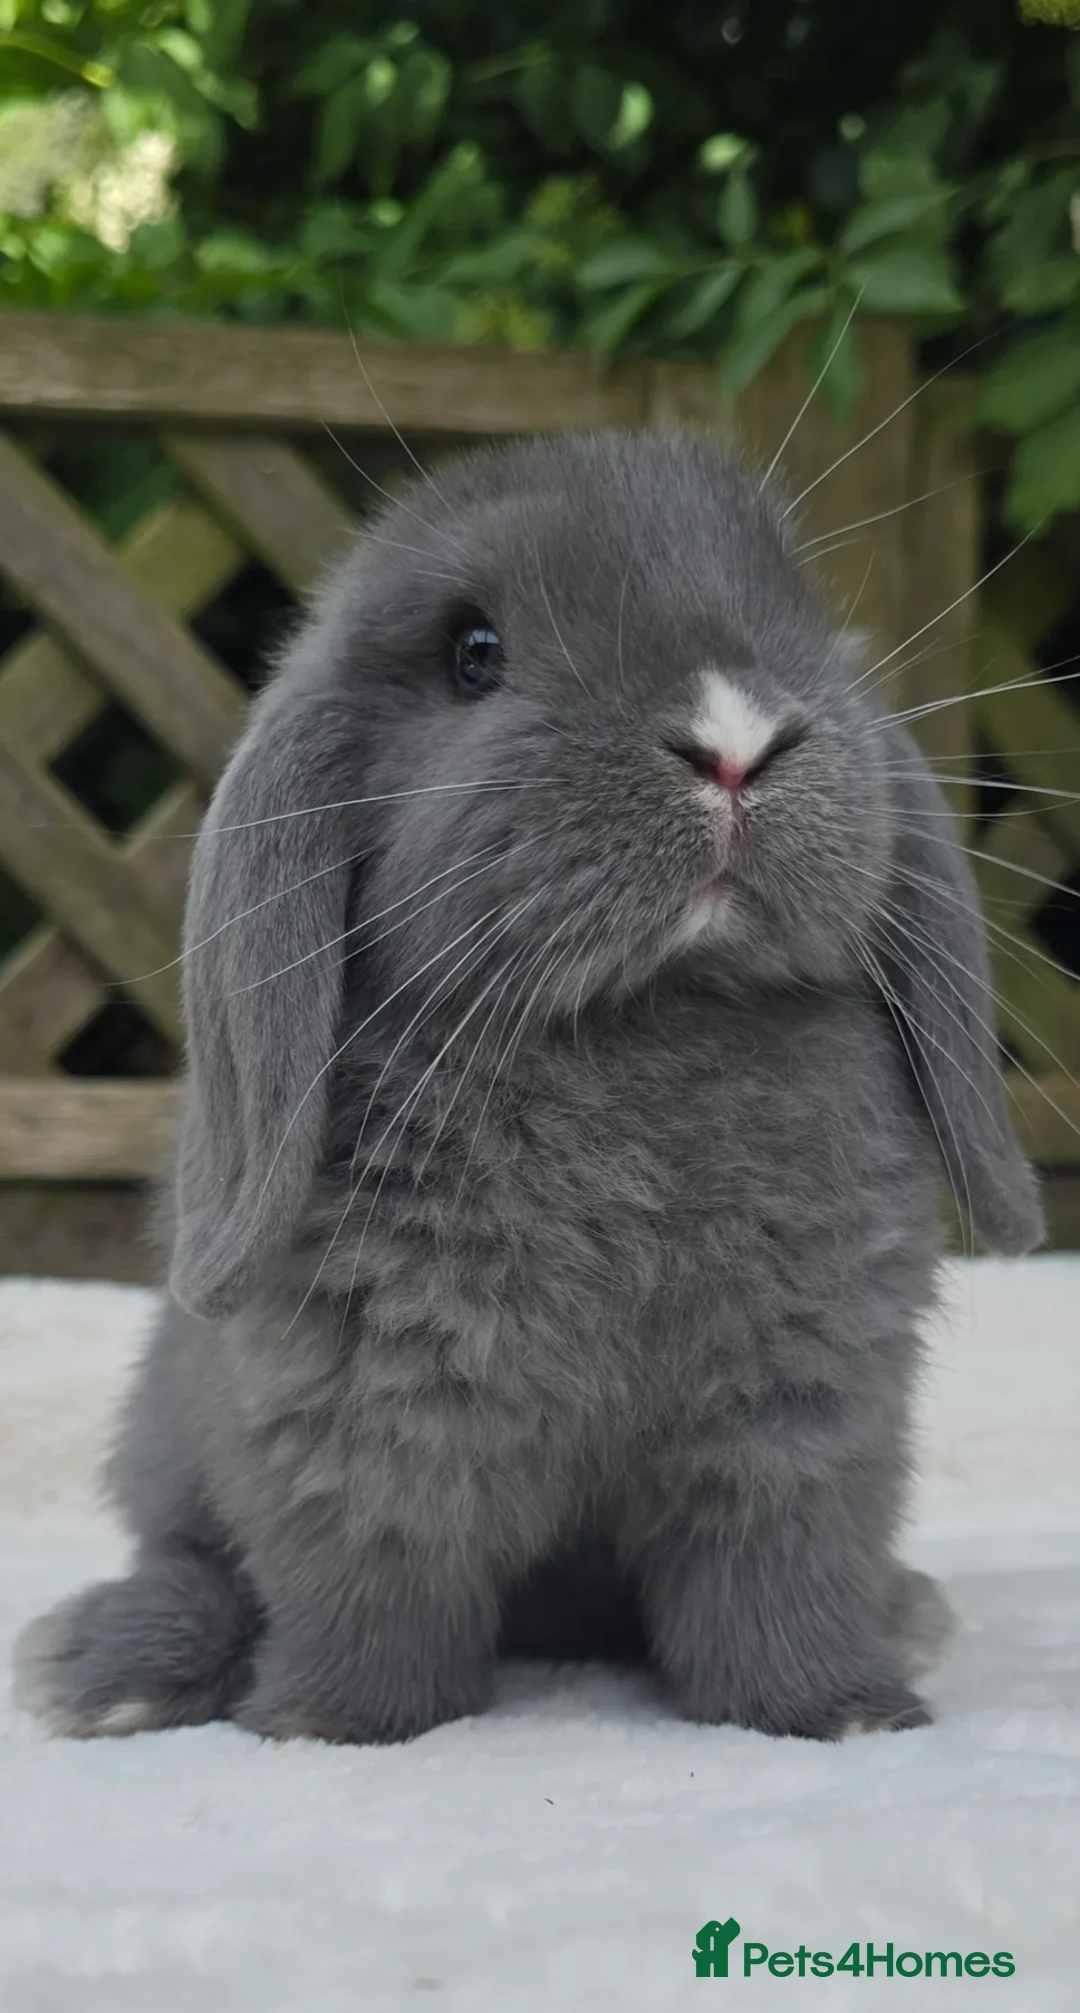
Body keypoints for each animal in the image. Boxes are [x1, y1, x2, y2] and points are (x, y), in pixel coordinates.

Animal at [14, 427, 1041, 1746]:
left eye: (796, 616)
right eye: (476, 654)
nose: (734, 741)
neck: (643, 1022)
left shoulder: (797, 1418)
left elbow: (775, 1582)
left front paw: (840, 1714)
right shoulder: (369, 1425)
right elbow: (375, 1587)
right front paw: (332, 1729)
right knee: (191, 1563)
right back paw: (110, 1673)